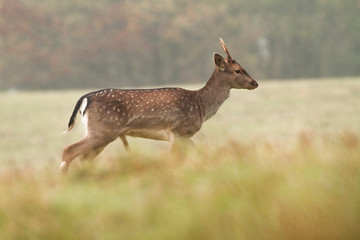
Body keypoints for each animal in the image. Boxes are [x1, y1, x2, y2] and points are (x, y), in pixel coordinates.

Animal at [62, 38, 258, 172]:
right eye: (238, 70)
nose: (255, 82)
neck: (201, 105)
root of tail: (85, 98)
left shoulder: (183, 136)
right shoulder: (177, 131)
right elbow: (175, 159)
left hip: (100, 132)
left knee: (84, 157)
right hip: (103, 130)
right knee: (68, 151)